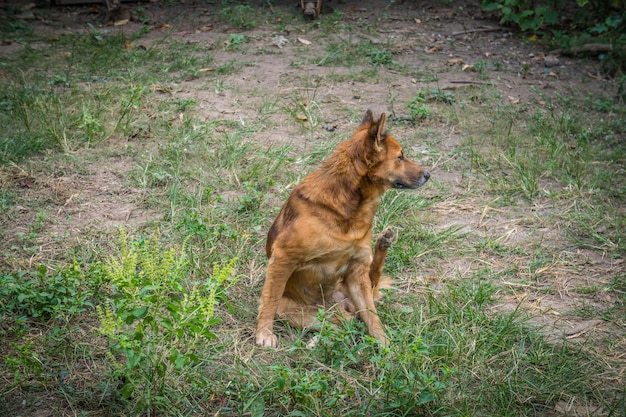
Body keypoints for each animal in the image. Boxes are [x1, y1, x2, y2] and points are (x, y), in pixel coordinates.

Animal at [255, 109, 428, 346]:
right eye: (400, 157)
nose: (428, 175)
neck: (349, 209)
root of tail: (341, 305)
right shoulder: (283, 257)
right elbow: (270, 300)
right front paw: (264, 333)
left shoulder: (356, 271)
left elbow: (374, 320)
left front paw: (386, 347)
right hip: (303, 311)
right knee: (336, 324)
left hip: (355, 286)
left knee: (371, 286)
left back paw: (384, 242)